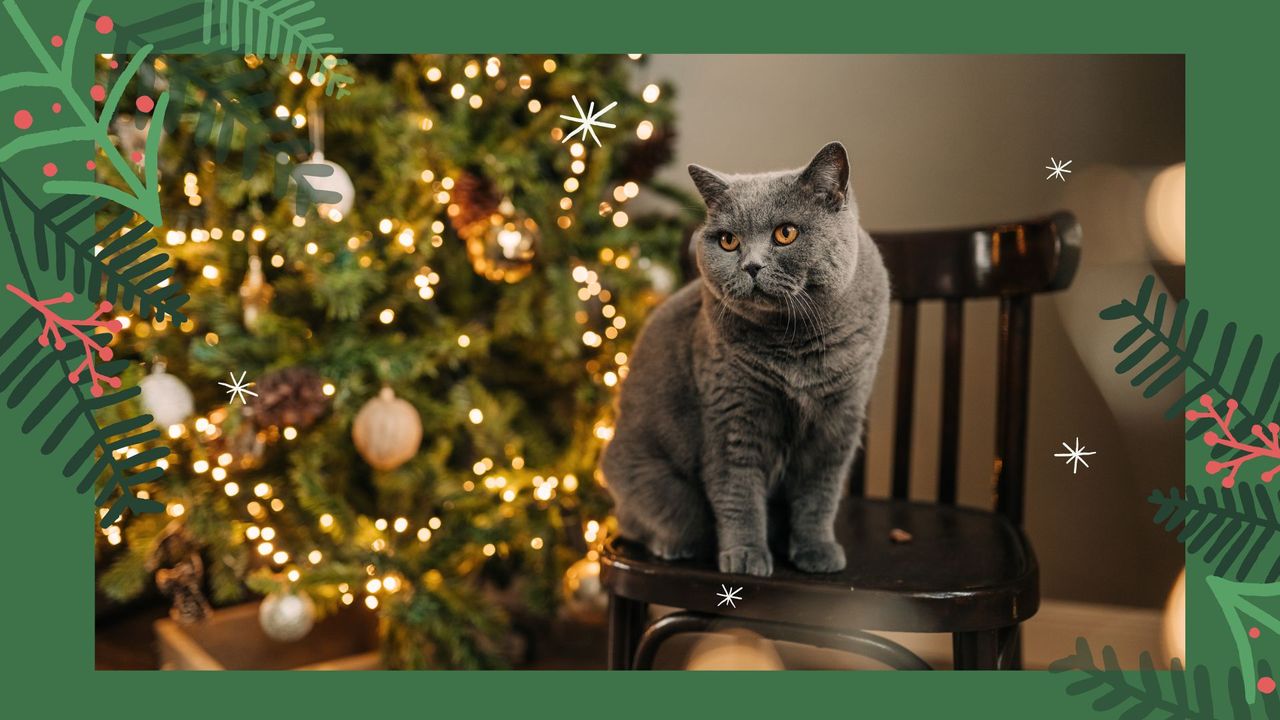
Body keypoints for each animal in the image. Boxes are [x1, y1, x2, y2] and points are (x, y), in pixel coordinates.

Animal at [601, 141, 890, 576]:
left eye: (785, 233)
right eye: (728, 241)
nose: (751, 266)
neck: (796, 345)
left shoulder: (839, 422)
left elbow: (820, 496)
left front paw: (817, 551)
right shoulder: (734, 414)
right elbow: (737, 490)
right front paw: (745, 556)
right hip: (645, 480)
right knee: (641, 521)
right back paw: (674, 545)